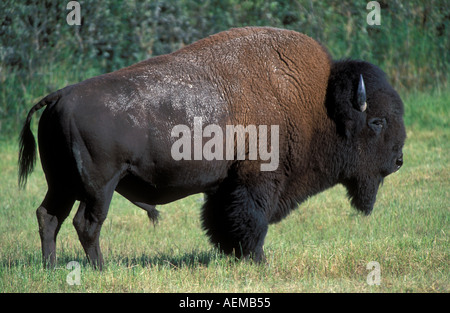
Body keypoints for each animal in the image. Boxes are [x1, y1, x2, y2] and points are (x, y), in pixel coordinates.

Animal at [17, 26, 406, 268]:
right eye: (377, 122)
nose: (399, 160)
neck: (318, 103)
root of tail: (59, 96)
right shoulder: (258, 180)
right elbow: (252, 219)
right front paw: (258, 260)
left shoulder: (225, 185)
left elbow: (223, 220)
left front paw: (234, 255)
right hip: (99, 186)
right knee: (86, 223)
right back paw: (99, 269)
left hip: (63, 183)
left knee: (48, 216)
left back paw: (51, 268)